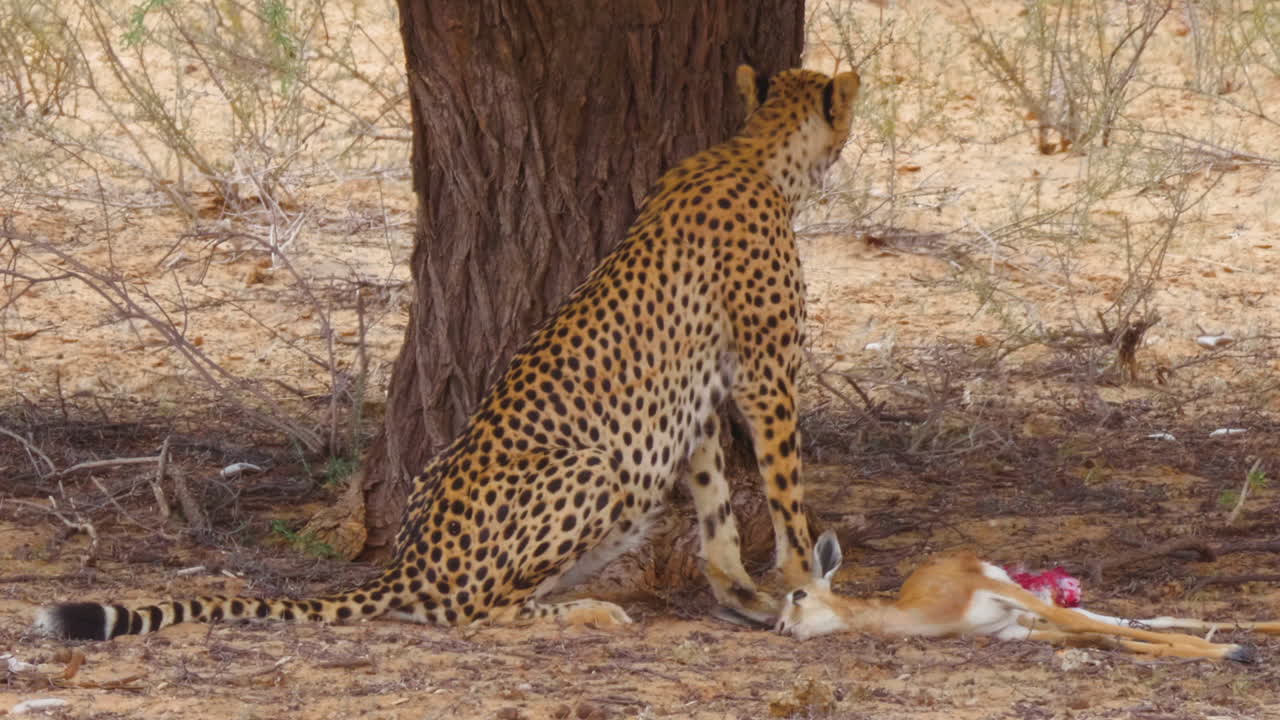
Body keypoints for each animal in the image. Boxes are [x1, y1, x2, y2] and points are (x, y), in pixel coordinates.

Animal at [34, 64, 862, 641]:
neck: (755, 153)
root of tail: (408, 559)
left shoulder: (699, 397)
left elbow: (717, 504)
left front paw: (744, 595)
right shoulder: (765, 379)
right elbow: (785, 492)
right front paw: (805, 585)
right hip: (595, 469)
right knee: (476, 611)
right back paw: (585, 613)